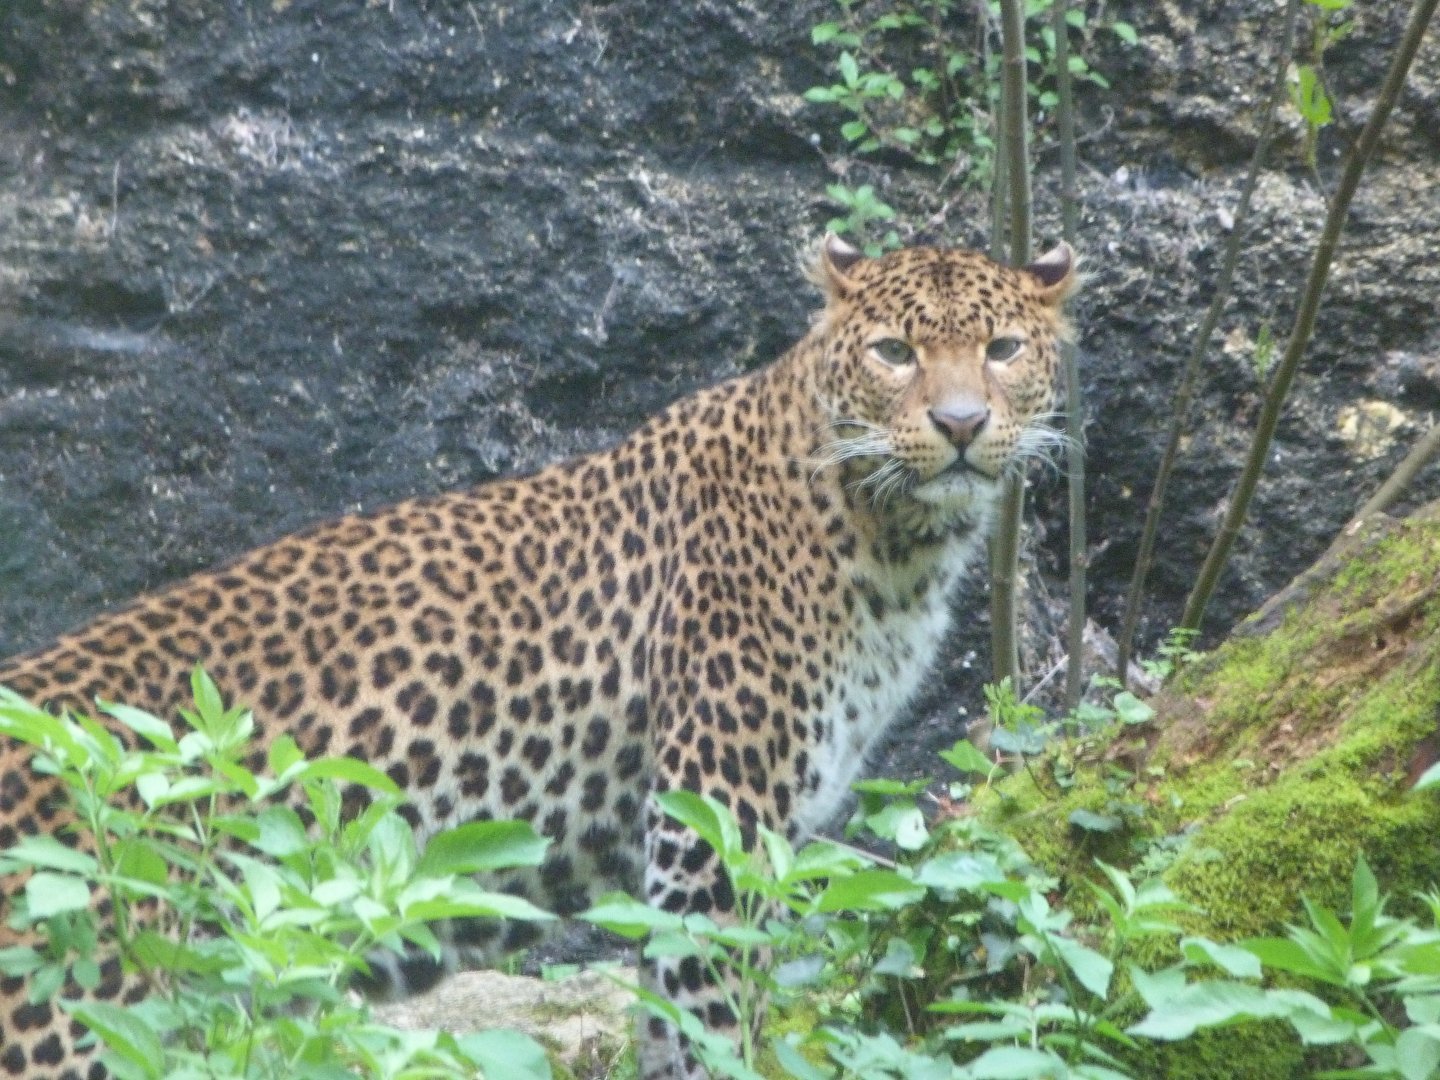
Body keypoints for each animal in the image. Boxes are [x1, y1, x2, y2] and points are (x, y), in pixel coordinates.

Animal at [0, 233, 1076, 1079]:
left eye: (1003, 349)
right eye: (895, 352)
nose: (962, 425)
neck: (892, 537)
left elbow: (666, 1025)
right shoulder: (712, 830)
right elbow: (712, 1023)